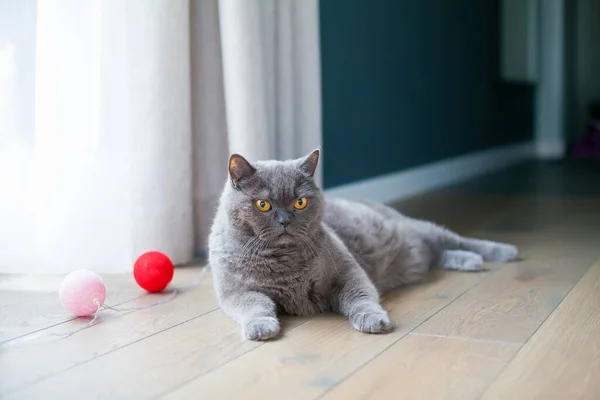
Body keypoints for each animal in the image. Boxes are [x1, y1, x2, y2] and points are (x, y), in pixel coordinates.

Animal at [209, 150, 516, 340]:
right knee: (439, 255)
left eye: (300, 202)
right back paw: (469, 261)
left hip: (420, 229)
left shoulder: (346, 271)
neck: (284, 262)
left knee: (458, 240)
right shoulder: (237, 292)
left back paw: (503, 252)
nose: (285, 221)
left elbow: (360, 297)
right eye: (263, 204)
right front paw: (261, 327)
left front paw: (373, 321)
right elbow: (255, 306)